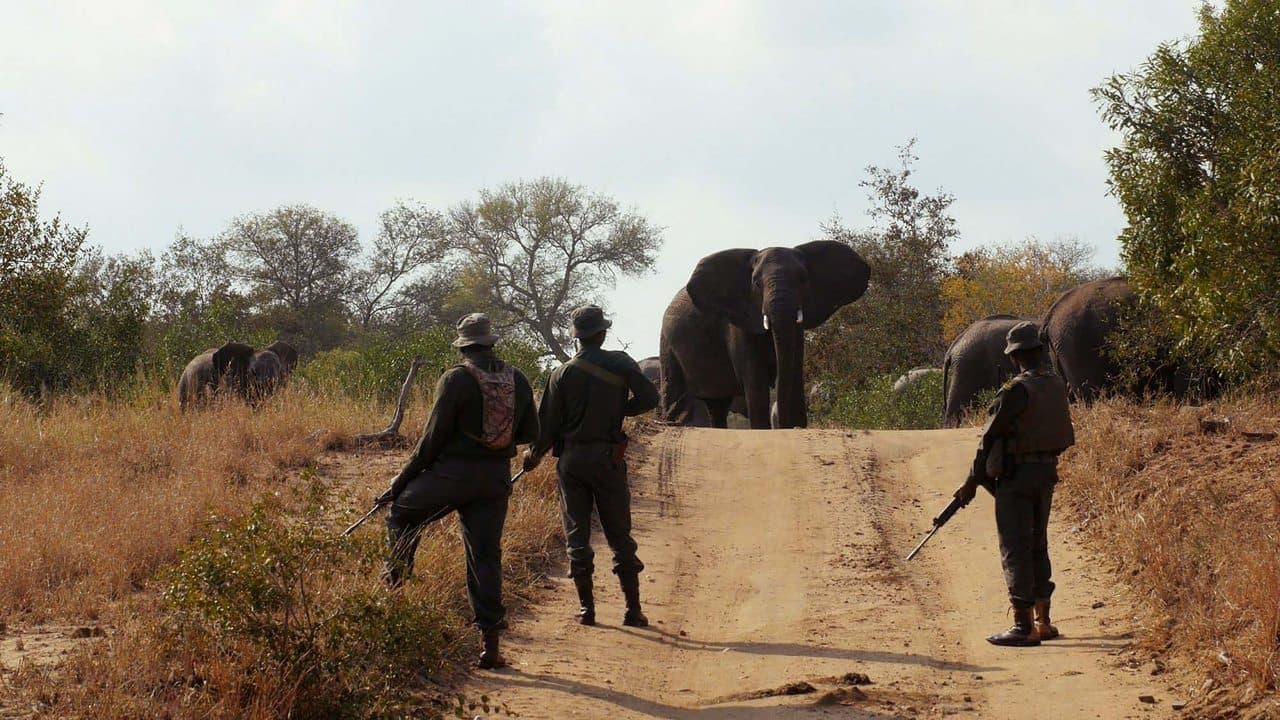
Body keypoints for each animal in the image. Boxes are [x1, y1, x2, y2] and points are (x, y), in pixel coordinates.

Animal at [660, 240, 870, 427]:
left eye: (803, 279)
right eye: (756, 283)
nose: (787, 426)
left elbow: (795, 374)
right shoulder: (740, 322)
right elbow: (755, 381)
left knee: (718, 405)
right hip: (666, 341)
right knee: (676, 394)